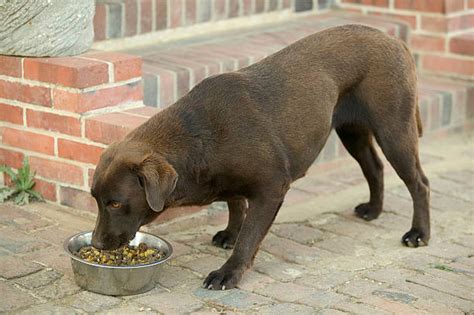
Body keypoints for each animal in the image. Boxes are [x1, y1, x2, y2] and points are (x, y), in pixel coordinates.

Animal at [90, 24, 432, 292]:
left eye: (115, 203)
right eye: (95, 199)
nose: (95, 244)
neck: (198, 137)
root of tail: (392, 40)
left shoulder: (271, 189)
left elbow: (250, 236)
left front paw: (228, 272)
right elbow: (235, 204)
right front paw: (230, 233)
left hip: (394, 129)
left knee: (419, 183)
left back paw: (419, 234)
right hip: (352, 131)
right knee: (374, 167)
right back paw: (374, 209)